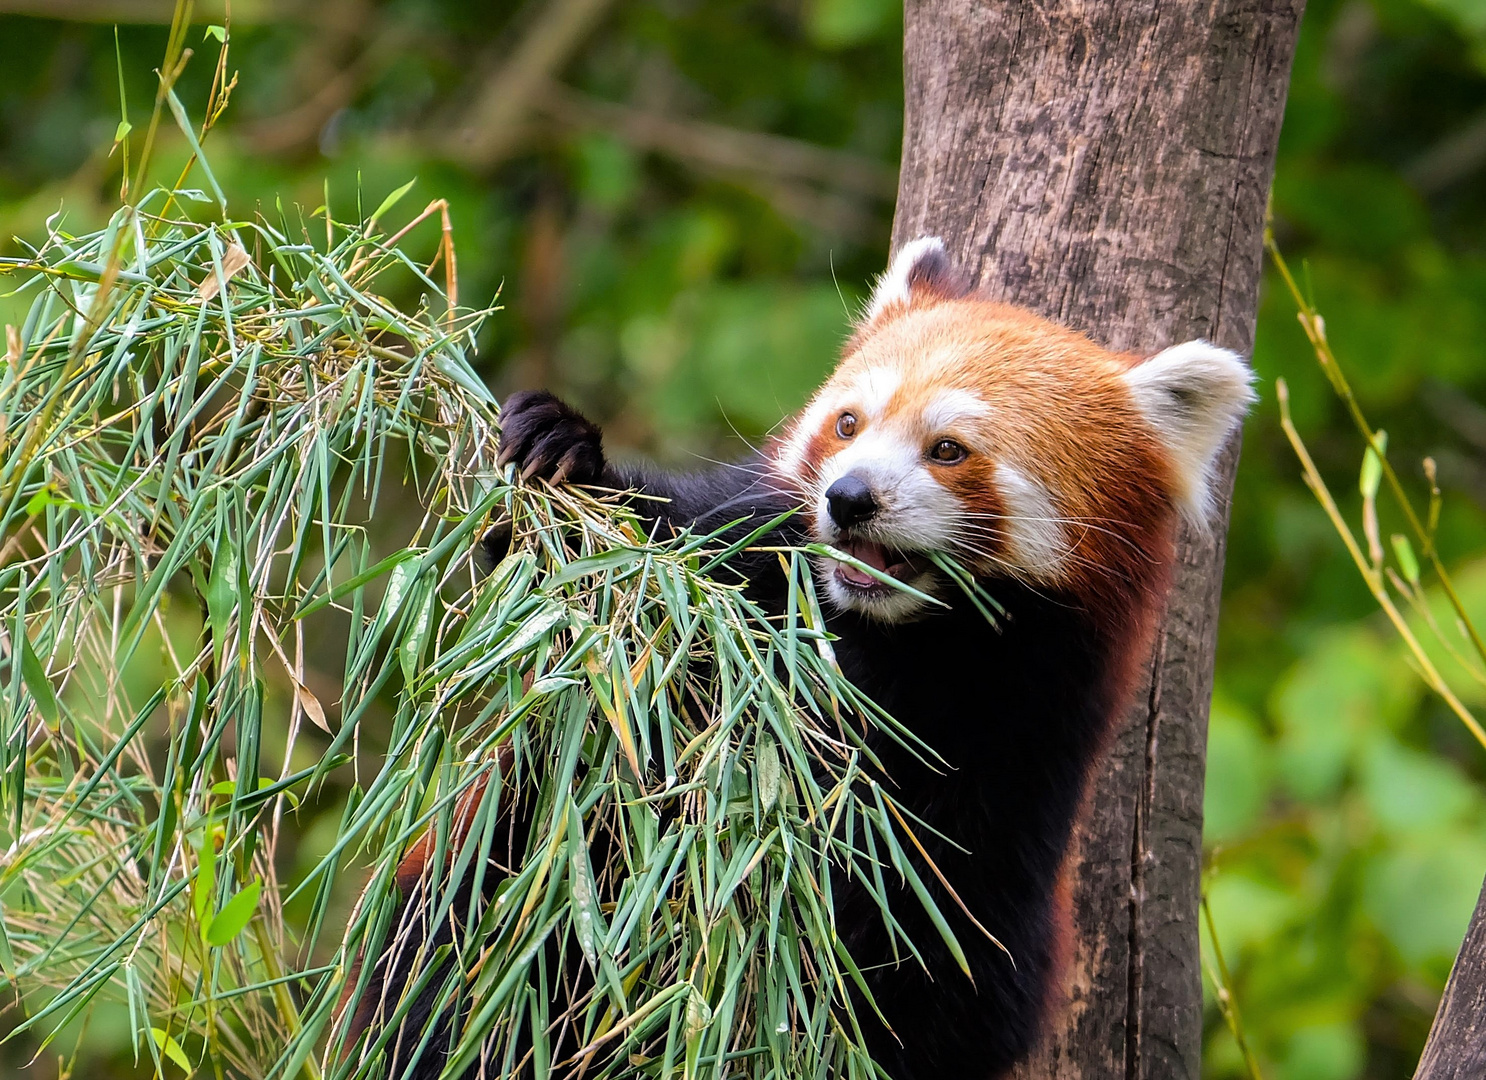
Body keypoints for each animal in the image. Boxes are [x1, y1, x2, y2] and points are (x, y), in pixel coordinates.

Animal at [350, 239, 1254, 1080]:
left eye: (949, 450)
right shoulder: (745, 564)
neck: (883, 630)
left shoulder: (1009, 735)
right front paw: (561, 451)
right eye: (848, 423)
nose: (848, 497)